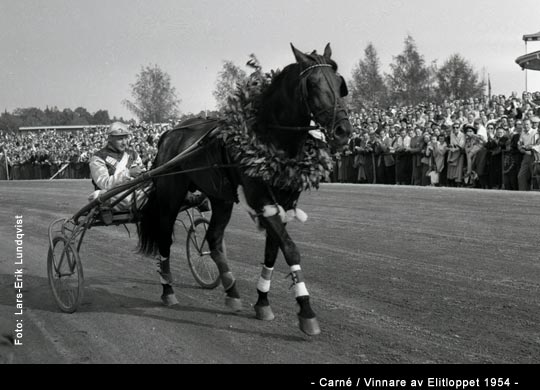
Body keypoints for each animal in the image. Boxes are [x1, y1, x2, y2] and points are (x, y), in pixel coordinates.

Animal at [137, 43, 352, 336]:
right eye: (313, 84)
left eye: (340, 84)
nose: (343, 131)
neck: (272, 138)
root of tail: (169, 134)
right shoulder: (260, 198)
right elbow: (290, 249)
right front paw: (306, 311)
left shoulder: (284, 202)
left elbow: (272, 251)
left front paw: (262, 302)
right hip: (171, 194)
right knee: (164, 237)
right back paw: (168, 290)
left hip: (221, 198)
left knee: (214, 239)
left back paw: (231, 291)